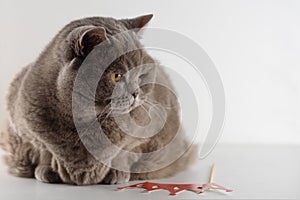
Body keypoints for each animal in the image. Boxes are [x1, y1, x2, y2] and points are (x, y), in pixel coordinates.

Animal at [0, 14, 198, 185]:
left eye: (141, 75)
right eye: (117, 76)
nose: (136, 93)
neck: (86, 121)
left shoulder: (151, 131)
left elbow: (127, 151)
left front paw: (118, 173)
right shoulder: (24, 130)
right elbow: (44, 152)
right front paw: (46, 170)